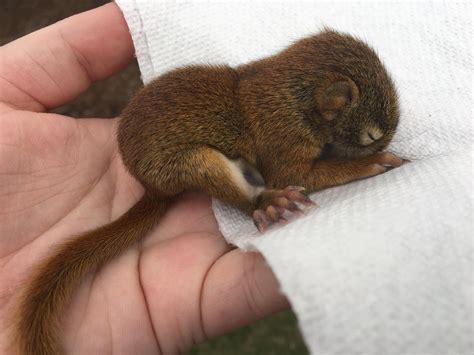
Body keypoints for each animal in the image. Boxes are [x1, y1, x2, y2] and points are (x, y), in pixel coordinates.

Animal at [14, 29, 400, 354]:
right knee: (242, 195)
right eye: (371, 135)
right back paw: (267, 202)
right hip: (194, 164)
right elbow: (294, 173)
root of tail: (151, 187)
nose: (381, 144)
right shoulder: (284, 139)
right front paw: (372, 162)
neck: (291, 95)